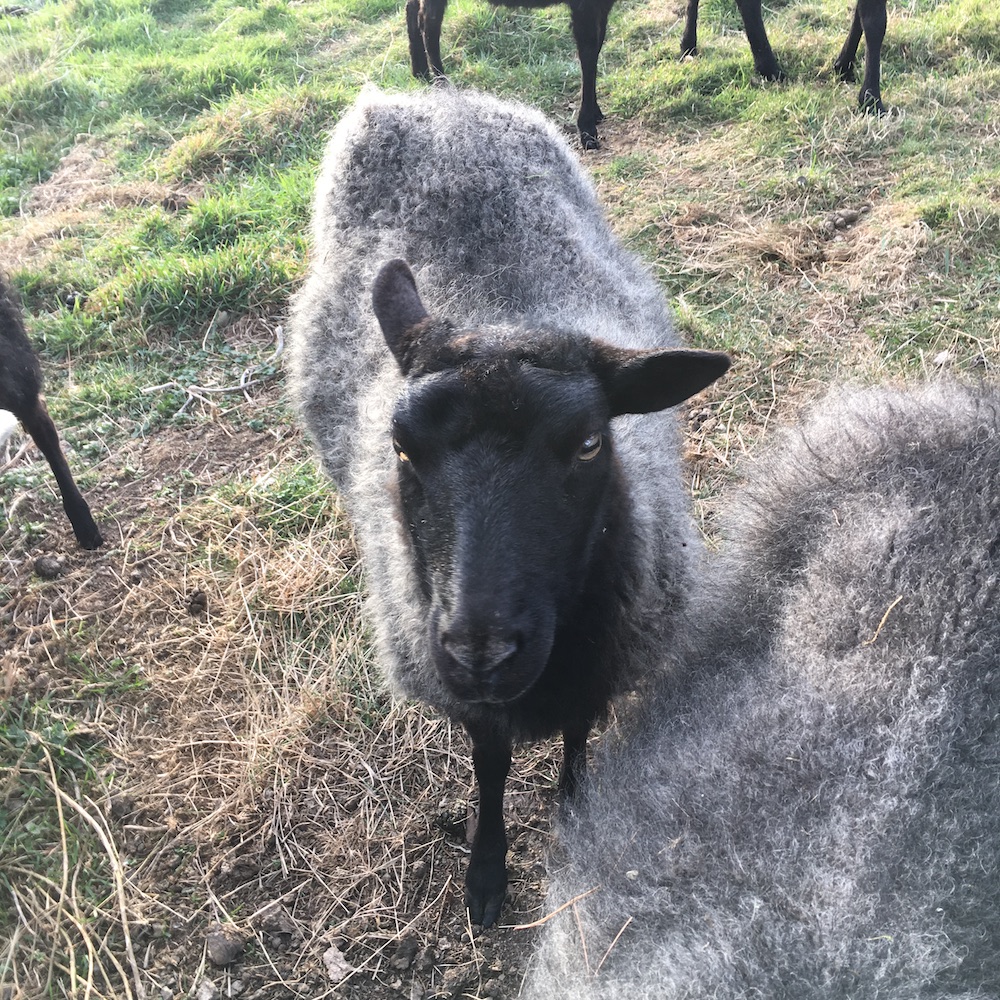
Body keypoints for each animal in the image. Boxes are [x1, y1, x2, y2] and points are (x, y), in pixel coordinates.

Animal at [287, 86, 730, 928]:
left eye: (590, 444)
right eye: (399, 445)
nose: (481, 652)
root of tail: (430, 98)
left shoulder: (601, 664)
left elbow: (579, 736)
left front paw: (575, 814)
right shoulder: (465, 694)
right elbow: (489, 767)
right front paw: (486, 872)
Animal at [406, 0, 617, 149]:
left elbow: (596, 49)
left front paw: (595, 112)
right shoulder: (584, 7)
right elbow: (588, 55)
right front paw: (587, 130)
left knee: (412, 9)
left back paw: (420, 72)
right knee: (428, 25)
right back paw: (442, 85)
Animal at [681, 0, 888, 113]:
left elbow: (862, 14)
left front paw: (844, 65)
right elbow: (875, 22)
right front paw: (871, 99)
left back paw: (688, 46)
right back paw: (769, 68)